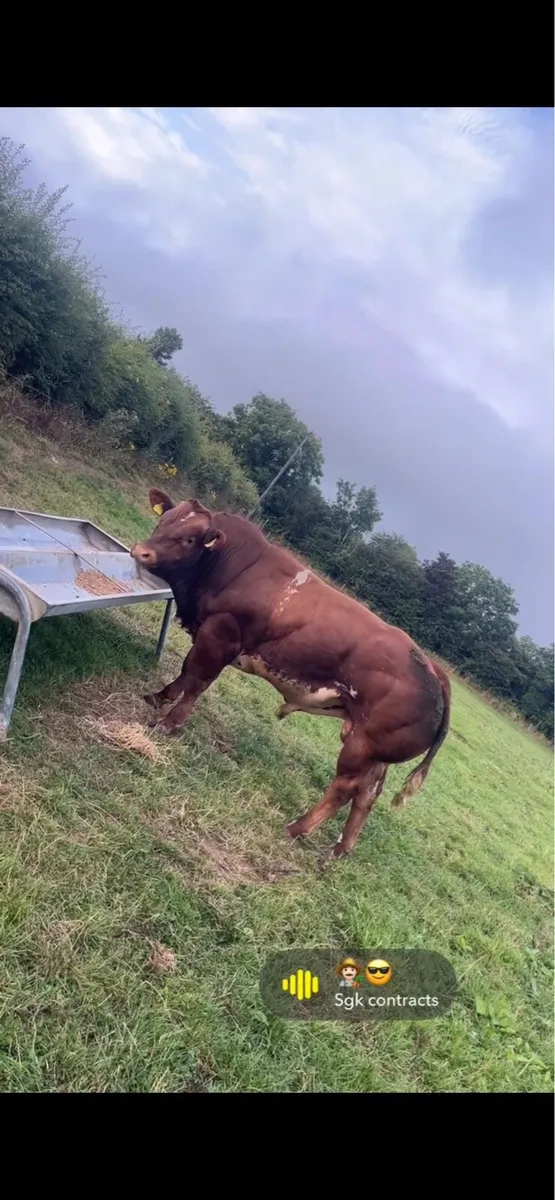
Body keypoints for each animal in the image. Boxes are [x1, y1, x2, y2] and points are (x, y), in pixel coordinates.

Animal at [131, 489, 451, 860]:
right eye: (165, 520)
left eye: (190, 538)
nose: (141, 551)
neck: (233, 566)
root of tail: (433, 669)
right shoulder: (207, 634)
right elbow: (185, 671)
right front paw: (158, 697)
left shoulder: (221, 634)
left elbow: (196, 680)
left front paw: (168, 722)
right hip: (376, 752)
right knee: (368, 794)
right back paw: (339, 848)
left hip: (362, 744)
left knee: (346, 787)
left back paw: (297, 827)